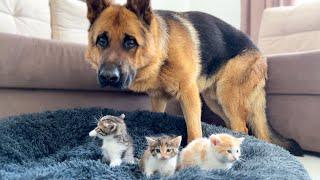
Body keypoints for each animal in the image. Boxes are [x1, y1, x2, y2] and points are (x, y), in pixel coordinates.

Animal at [84, 0, 302, 156]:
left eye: (130, 42)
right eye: (102, 40)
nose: (108, 77)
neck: (163, 51)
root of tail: (259, 53)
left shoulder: (189, 95)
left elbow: (194, 130)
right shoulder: (158, 99)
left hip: (227, 95)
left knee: (243, 128)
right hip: (216, 101)